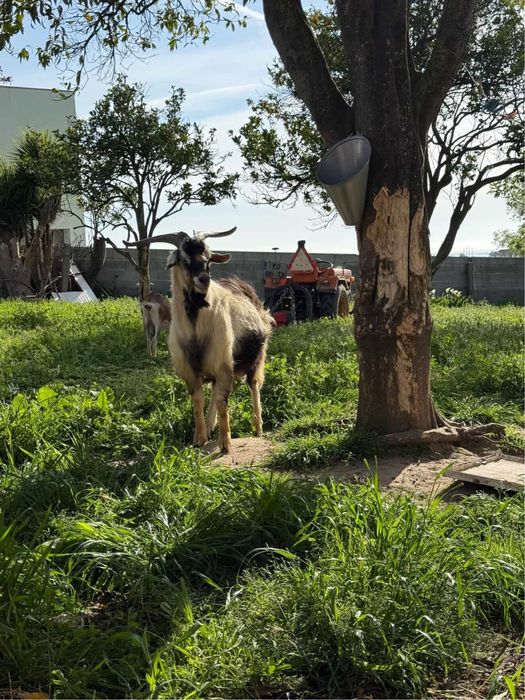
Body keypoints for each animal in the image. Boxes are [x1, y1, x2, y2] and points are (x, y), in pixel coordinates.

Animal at [124, 228, 273, 453]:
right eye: (184, 259)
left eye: (209, 259)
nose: (204, 279)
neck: (196, 330)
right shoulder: (189, 370)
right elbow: (198, 401)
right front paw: (199, 438)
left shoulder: (223, 363)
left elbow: (222, 402)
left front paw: (225, 443)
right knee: (213, 392)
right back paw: (211, 426)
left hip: (257, 357)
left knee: (253, 386)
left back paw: (258, 428)